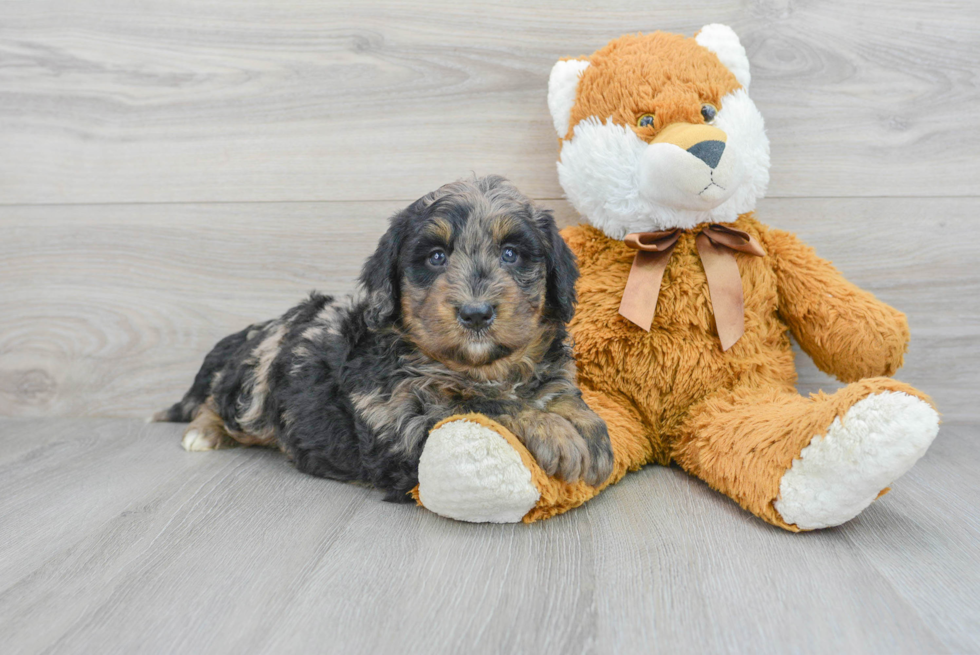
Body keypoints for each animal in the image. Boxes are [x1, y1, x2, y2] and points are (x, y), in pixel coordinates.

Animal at [153, 174, 612, 502]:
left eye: (511, 253)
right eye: (436, 257)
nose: (476, 313)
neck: (480, 367)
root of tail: (253, 331)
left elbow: (563, 395)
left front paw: (591, 431)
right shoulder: (399, 419)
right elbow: (481, 405)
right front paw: (553, 431)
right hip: (255, 387)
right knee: (219, 401)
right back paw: (203, 431)